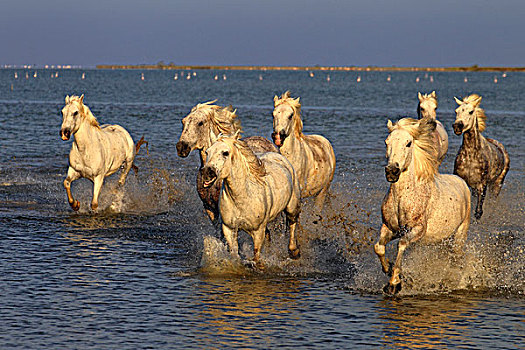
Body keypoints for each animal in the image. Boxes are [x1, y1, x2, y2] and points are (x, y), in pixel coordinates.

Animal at [200, 133, 300, 266]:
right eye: (207, 152)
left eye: (225, 153)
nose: (206, 172)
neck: (242, 197)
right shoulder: (229, 229)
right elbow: (234, 254)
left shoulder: (257, 231)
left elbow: (256, 256)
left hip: (292, 207)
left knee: (292, 224)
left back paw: (294, 251)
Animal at [372, 118, 470, 296]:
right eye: (386, 142)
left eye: (408, 143)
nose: (392, 171)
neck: (403, 198)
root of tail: (462, 182)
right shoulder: (391, 228)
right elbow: (379, 247)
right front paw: (388, 268)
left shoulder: (417, 229)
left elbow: (401, 244)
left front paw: (394, 283)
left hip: (460, 235)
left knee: (456, 259)